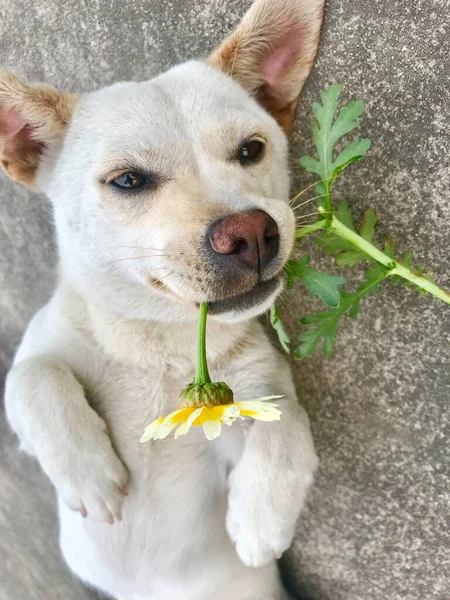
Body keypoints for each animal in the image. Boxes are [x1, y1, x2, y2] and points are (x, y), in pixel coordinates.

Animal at [0, 0, 324, 596]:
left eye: (252, 149)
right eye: (128, 180)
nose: (251, 233)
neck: (159, 346)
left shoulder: (253, 398)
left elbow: (285, 417)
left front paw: (260, 518)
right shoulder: (38, 349)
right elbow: (34, 378)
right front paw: (90, 475)